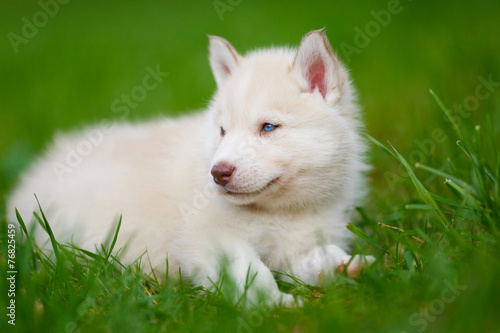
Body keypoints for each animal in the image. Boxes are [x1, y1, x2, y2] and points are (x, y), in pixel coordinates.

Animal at [7, 29, 374, 304]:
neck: (283, 211)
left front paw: (348, 267)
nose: (218, 173)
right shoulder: (212, 240)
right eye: (223, 131)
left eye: (268, 127)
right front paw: (275, 304)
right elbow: (251, 275)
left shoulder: (296, 245)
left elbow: (318, 256)